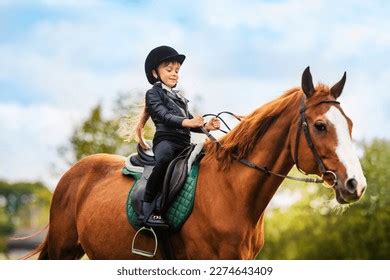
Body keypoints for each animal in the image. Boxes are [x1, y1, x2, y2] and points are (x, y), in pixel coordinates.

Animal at [30, 66, 366, 260]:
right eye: (320, 125)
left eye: (349, 124)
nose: (355, 184)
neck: (232, 192)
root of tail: (73, 174)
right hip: (62, 251)